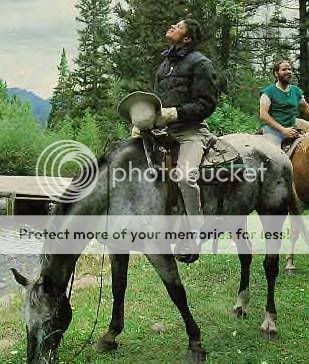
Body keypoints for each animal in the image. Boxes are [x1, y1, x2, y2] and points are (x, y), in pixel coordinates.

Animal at [12, 134, 304, 364]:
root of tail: (276, 151)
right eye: (25, 321)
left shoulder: (157, 249)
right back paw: (240, 304)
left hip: (272, 213)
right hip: (237, 217)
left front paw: (195, 344)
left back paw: (269, 321)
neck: (117, 190)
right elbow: (119, 288)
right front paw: (110, 336)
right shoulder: (119, 247)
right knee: (246, 256)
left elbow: (177, 293)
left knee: (270, 265)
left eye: (48, 320)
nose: (35, 360)